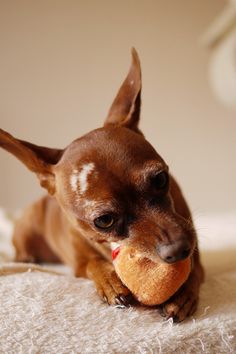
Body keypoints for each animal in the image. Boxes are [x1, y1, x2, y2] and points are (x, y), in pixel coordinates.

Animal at [0, 48, 203, 322]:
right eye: (104, 221)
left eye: (161, 179)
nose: (179, 249)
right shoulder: (79, 262)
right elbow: (92, 264)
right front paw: (109, 281)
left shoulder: (195, 251)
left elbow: (194, 270)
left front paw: (183, 294)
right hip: (26, 225)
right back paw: (27, 257)